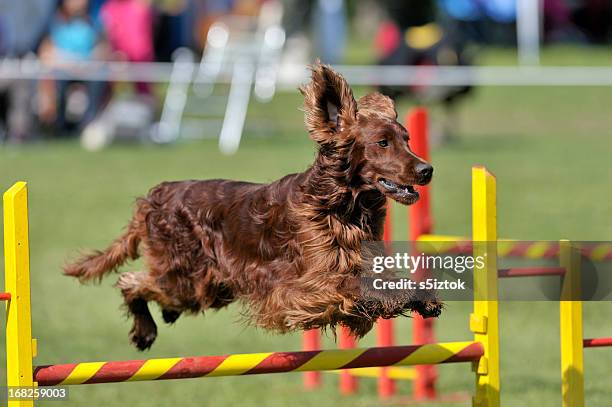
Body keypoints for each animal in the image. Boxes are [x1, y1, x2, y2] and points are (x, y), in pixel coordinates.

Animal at [64, 61, 440, 350]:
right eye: (382, 142)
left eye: (407, 139)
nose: (427, 170)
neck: (341, 206)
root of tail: (158, 194)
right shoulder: (307, 287)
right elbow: (360, 289)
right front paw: (403, 298)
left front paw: (423, 296)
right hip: (185, 277)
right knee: (130, 280)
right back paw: (145, 331)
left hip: (206, 287)